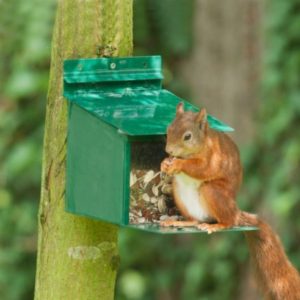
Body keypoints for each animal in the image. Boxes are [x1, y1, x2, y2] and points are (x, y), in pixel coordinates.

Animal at [161, 102, 300, 298]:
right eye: (168, 130)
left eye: (187, 136)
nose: (169, 151)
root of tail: (236, 211)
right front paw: (165, 163)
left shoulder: (213, 158)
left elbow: (202, 168)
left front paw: (178, 164)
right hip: (179, 193)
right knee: (195, 220)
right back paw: (180, 222)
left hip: (213, 192)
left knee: (229, 221)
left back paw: (218, 225)